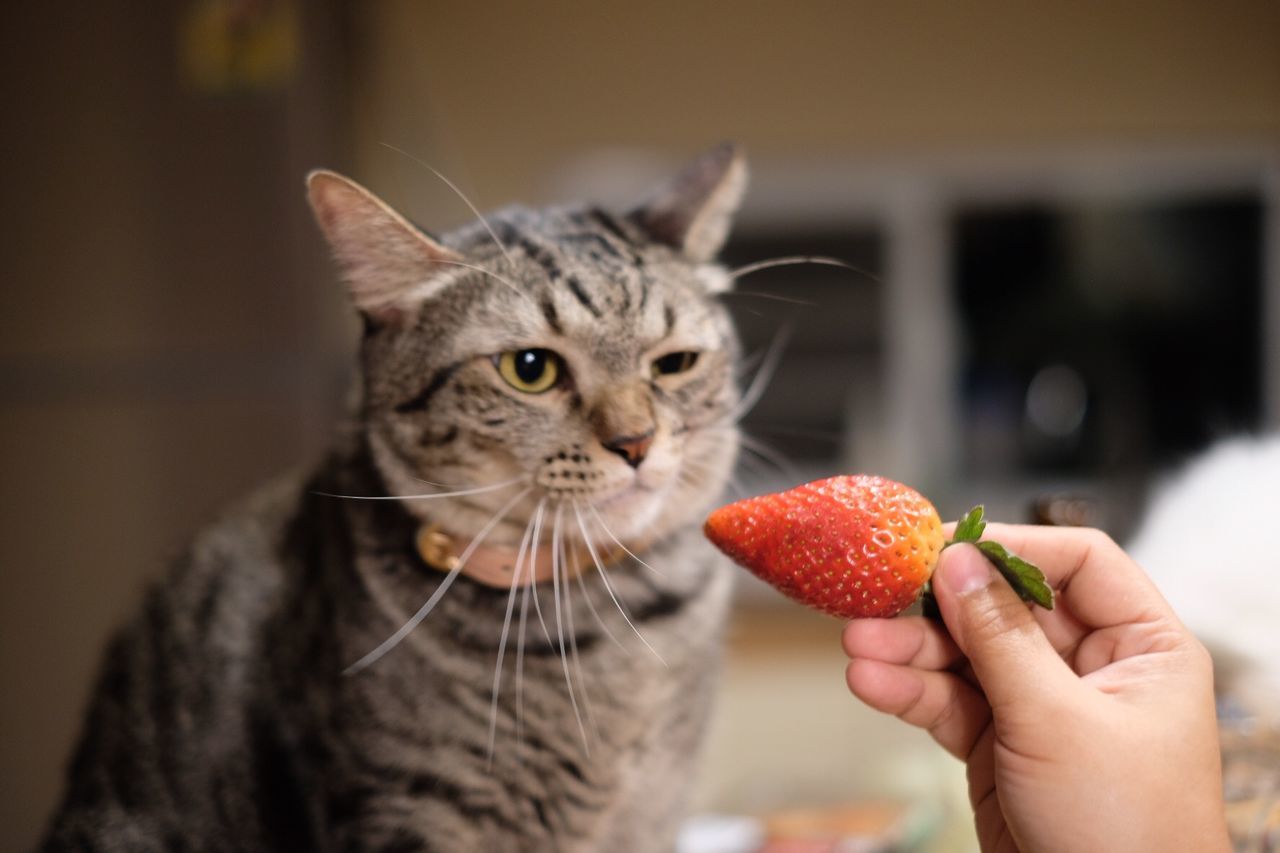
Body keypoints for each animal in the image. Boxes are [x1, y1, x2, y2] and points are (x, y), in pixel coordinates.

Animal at [42, 142, 747, 845]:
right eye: (530, 369)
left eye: (674, 363)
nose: (635, 442)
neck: (610, 616)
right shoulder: (409, 808)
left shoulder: (653, 817)